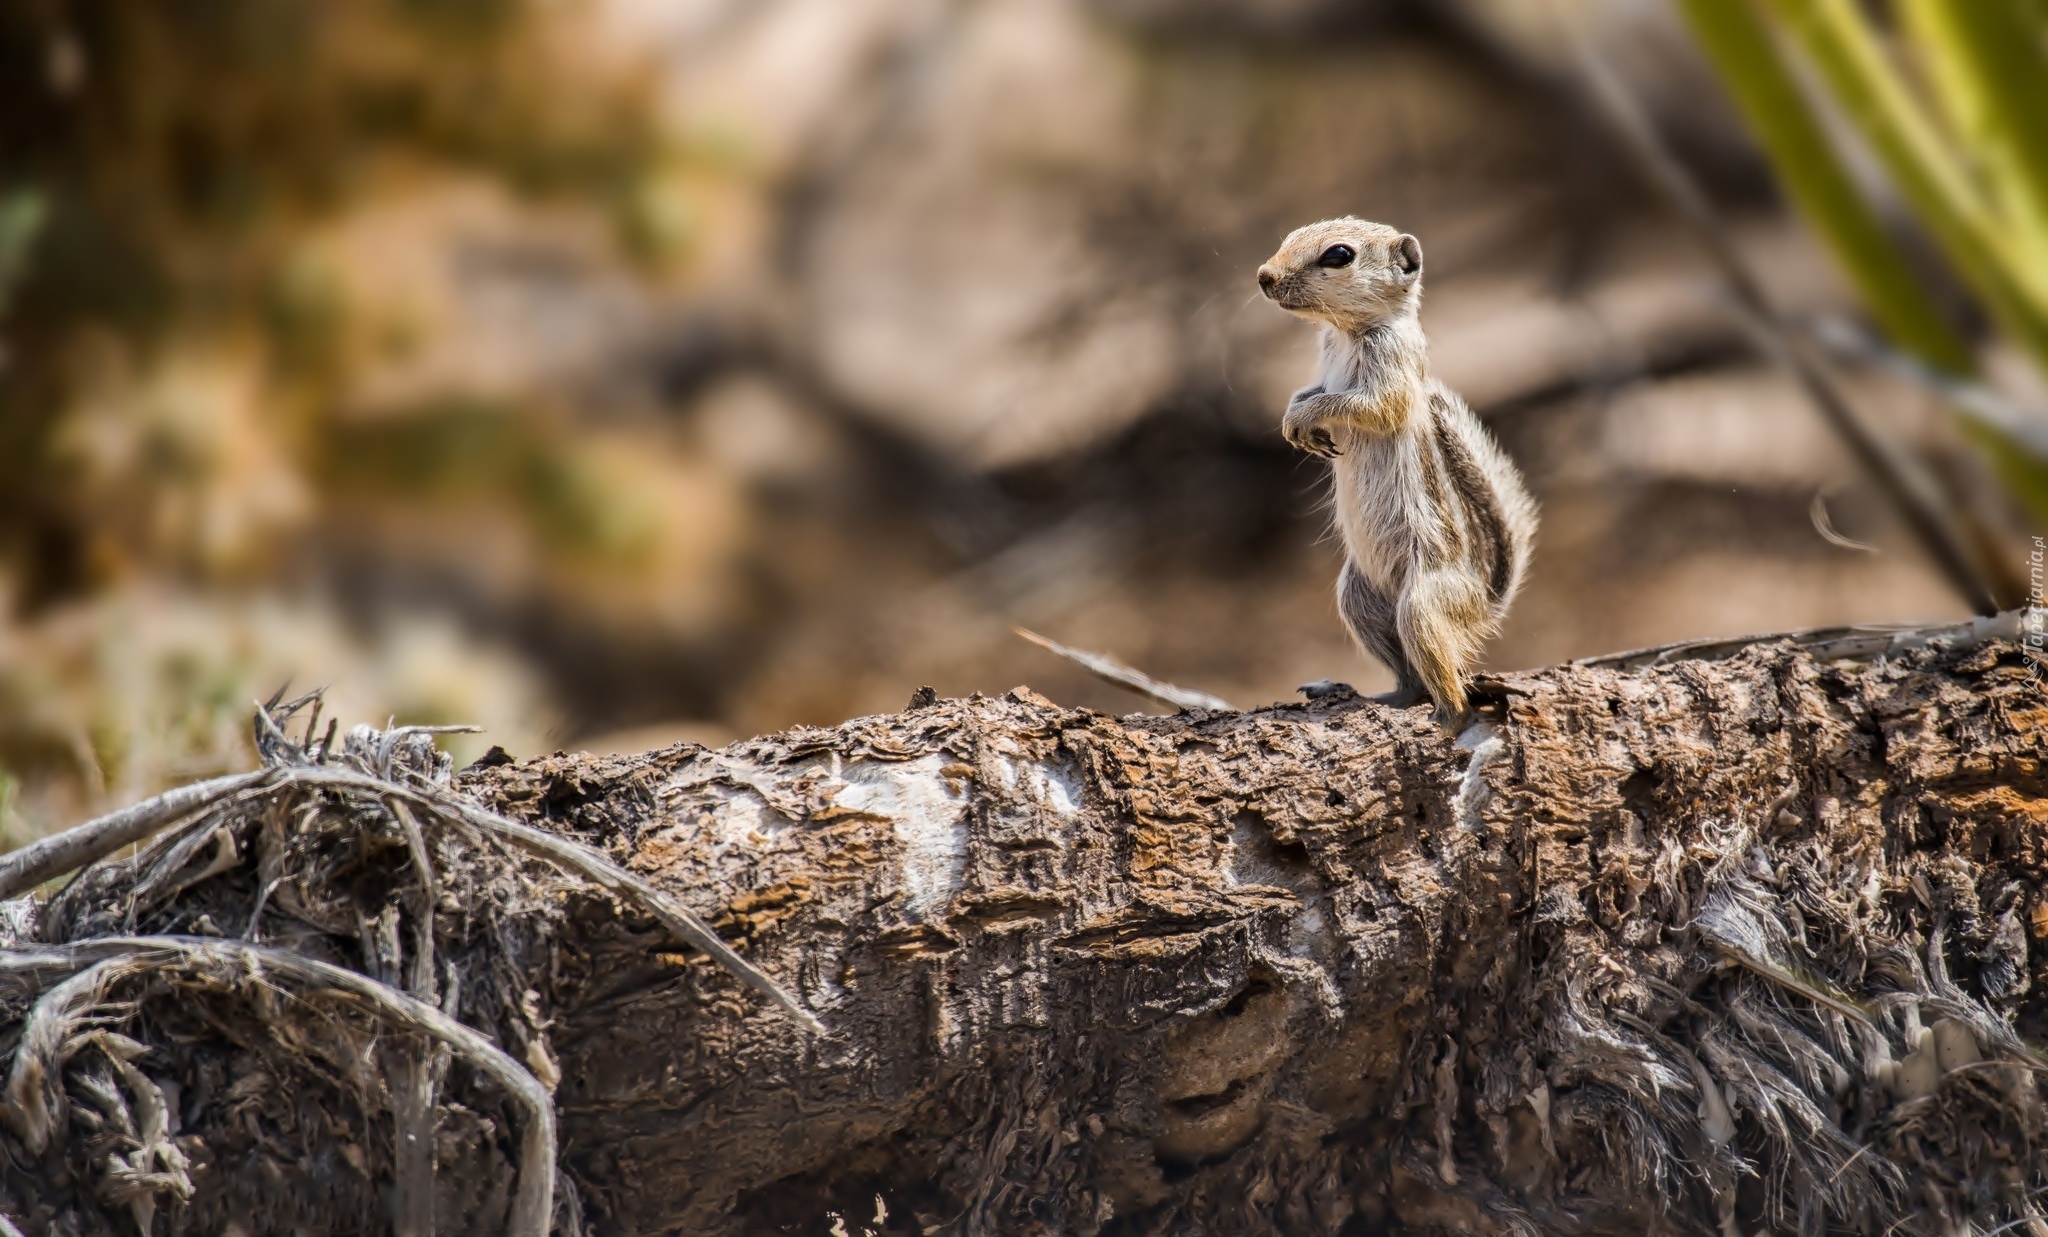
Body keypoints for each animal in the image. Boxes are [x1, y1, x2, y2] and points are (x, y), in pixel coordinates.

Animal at [1245, 221, 1540, 724]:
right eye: (1291, 235)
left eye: (1339, 255)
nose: (1265, 276)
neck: (1345, 332)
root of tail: (1481, 607)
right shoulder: (1323, 365)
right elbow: (1311, 390)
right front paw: (1292, 419)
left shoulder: (1392, 372)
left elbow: (1367, 405)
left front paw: (1308, 416)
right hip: (1357, 599)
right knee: (1410, 679)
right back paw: (1378, 697)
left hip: (1422, 605)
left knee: (1449, 685)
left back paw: (1445, 716)